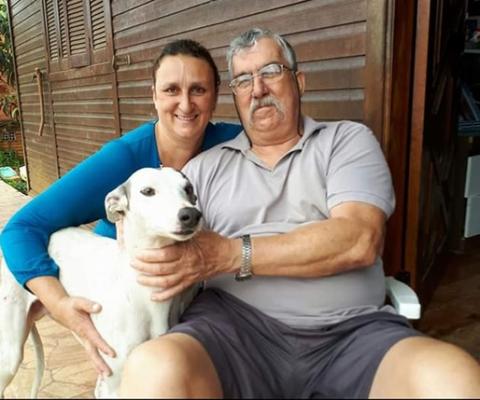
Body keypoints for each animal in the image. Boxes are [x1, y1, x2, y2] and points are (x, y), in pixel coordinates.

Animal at [0, 167, 202, 398]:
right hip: (9, 356)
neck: (141, 290)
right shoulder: (112, 385)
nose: (191, 215)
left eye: (187, 188)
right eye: (147, 191)